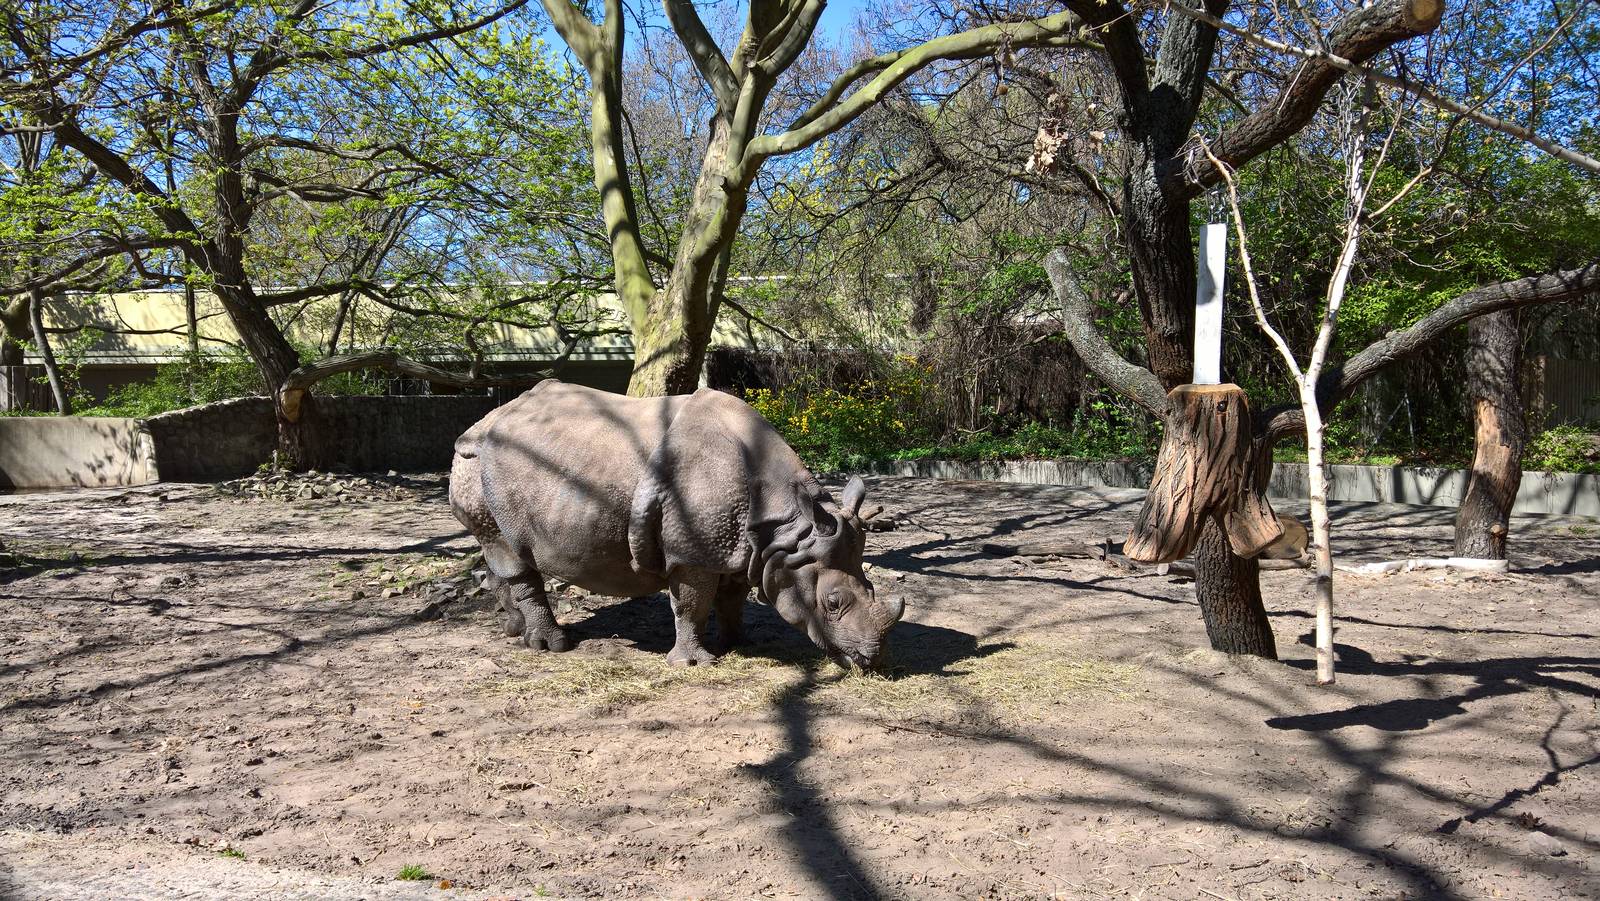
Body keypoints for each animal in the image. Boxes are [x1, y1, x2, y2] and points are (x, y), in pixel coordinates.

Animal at [449, 381, 903, 669]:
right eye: (833, 603)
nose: (874, 659)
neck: (789, 529)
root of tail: (480, 424)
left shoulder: (742, 544)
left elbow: (731, 597)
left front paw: (737, 643)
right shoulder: (692, 550)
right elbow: (692, 604)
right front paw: (696, 663)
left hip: (487, 472)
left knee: (495, 545)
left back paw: (513, 630)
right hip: (477, 465)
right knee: (507, 551)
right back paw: (552, 646)